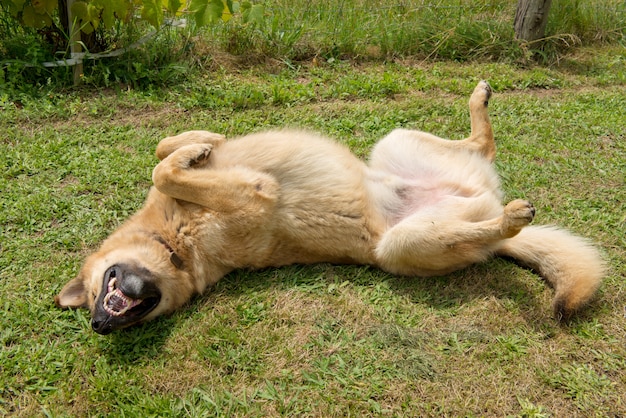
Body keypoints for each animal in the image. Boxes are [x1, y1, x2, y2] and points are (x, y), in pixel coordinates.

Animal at [56, 81, 604, 334]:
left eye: (95, 292)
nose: (98, 324)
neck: (174, 240)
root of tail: (481, 198)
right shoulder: (254, 194)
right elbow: (163, 166)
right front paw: (192, 153)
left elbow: (162, 153)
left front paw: (198, 146)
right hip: (403, 245)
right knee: (494, 224)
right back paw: (510, 217)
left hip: (396, 140)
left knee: (482, 146)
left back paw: (480, 102)